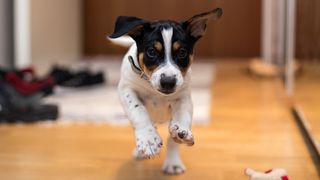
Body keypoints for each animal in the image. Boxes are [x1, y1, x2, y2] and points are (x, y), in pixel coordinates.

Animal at [109, 8, 221, 174]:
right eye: (151, 51)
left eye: (182, 52)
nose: (168, 82)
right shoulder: (126, 89)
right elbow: (138, 110)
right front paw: (148, 139)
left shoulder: (183, 97)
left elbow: (182, 117)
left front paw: (181, 131)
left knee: (171, 138)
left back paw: (173, 162)